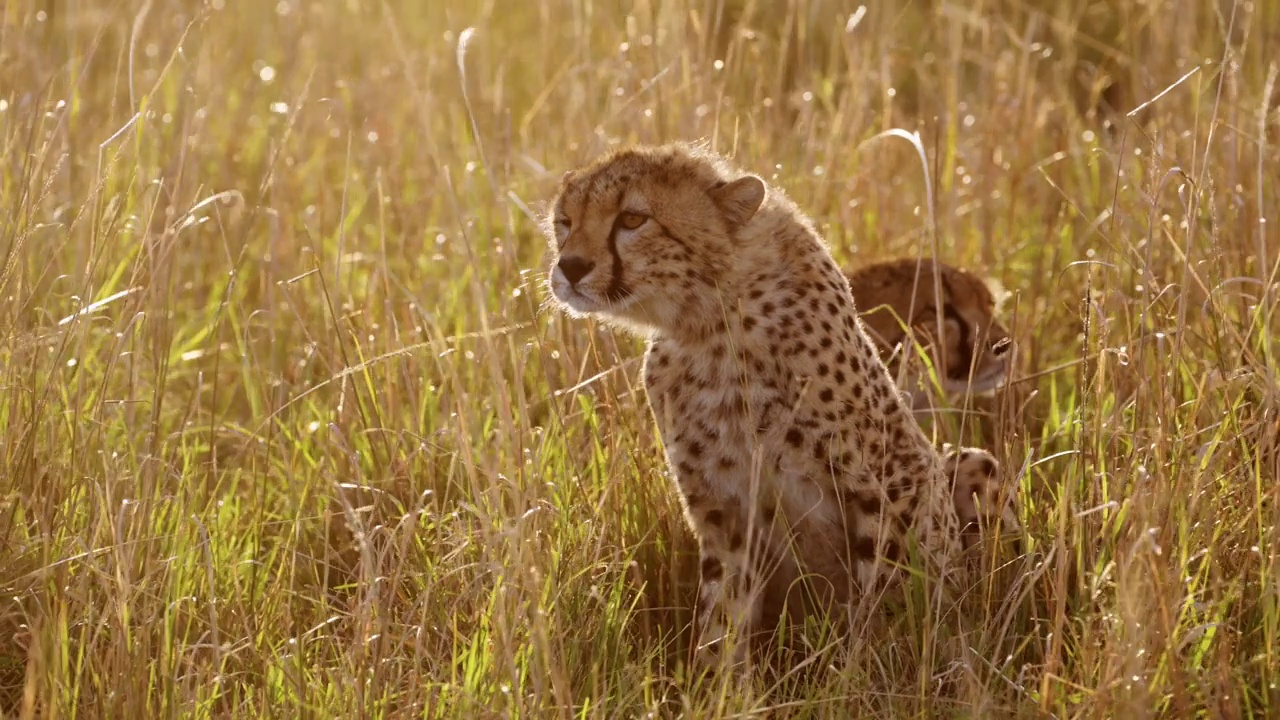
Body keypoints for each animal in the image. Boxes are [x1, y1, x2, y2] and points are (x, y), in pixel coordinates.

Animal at [542, 142, 977, 666]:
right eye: (565, 222)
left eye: (632, 219)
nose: (571, 267)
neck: (711, 319)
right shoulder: (725, 510)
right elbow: (722, 616)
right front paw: (718, 680)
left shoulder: (878, 484)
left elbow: (884, 596)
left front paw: (870, 669)